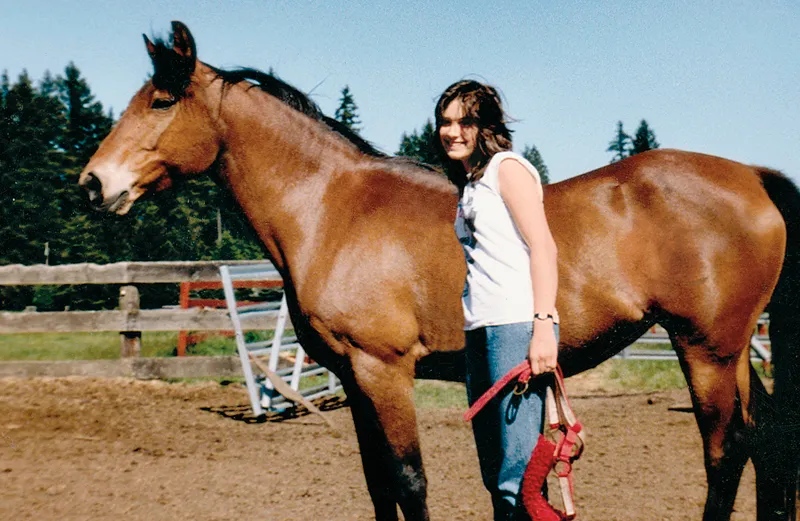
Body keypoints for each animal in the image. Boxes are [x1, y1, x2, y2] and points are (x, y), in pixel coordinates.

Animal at [81, 21, 800, 520]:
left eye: (161, 100)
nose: (93, 183)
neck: (332, 206)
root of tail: (750, 176)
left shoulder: (384, 370)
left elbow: (408, 480)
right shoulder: (354, 379)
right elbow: (379, 485)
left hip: (705, 349)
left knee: (727, 451)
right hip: (733, 351)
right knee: (768, 439)